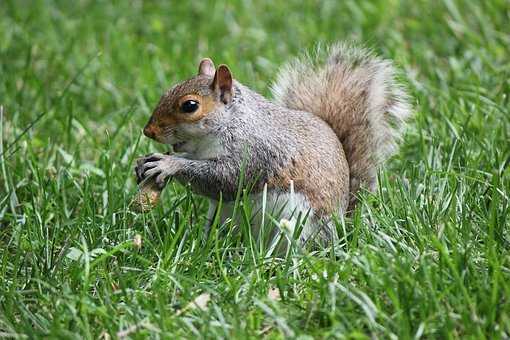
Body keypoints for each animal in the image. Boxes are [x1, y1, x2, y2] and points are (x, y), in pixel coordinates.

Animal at [134, 43, 410, 244]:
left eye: (190, 106)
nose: (148, 131)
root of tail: (341, 226)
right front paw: (145, 163)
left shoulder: (256, 153)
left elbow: (226, 178)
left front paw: (168, 164)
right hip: (221, 217)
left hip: (299, 224)